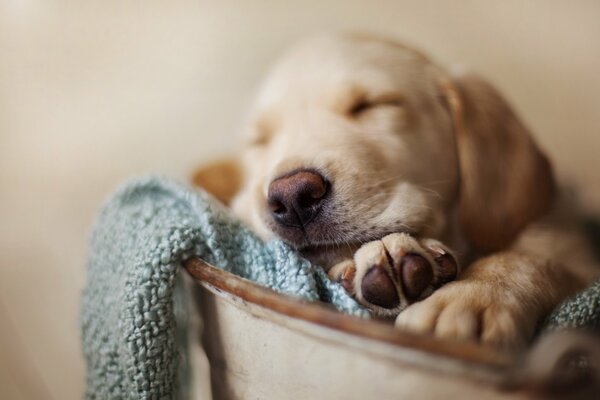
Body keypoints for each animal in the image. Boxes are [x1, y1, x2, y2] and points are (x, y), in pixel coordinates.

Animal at [195, 33, 596, 346]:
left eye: (373, 104)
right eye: (259, 140)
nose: (293, 196)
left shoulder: (574, 247)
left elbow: (530, 258)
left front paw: (473, 298)